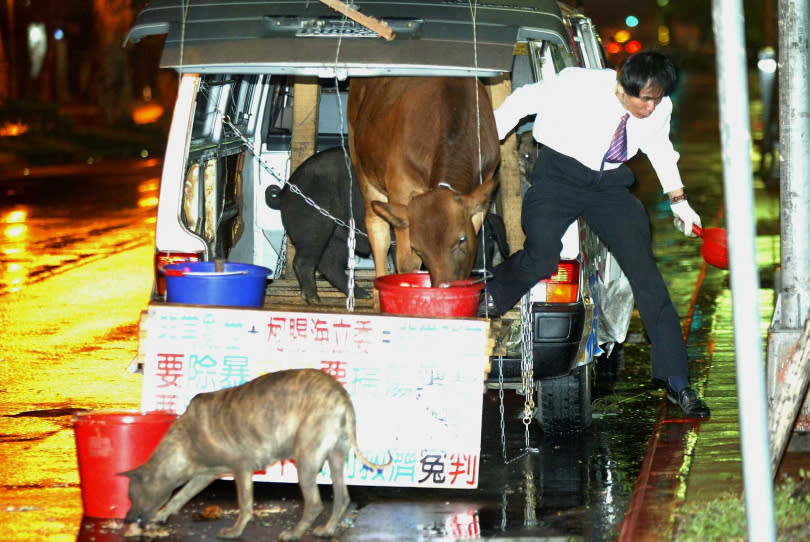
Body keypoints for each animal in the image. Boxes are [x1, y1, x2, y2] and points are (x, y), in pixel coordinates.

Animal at [123, 368, 392, 540]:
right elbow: (180, 497)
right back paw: (326, 530)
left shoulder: (241, 468)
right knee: (342, 498)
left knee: (314, 504)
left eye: (131, 494)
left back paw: (293, 534)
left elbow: (244, 504)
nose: (126, 520)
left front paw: (234, 531)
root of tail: (341, 395)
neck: (184, 441)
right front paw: (162, 514)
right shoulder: (204, 475)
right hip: (335, 458)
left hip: (306, 460)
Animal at [348, 77, 498, 292]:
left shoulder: (483, 190)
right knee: (378, 230)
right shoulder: (401, 191)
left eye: (461, 239)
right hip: (362, 167)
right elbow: (407, 263)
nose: (444, 285)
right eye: (418, 249)